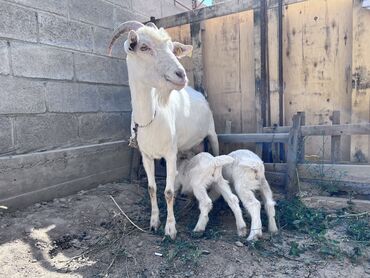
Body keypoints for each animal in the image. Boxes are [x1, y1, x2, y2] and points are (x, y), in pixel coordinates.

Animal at [108, 21, 218, 239]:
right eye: (143, 47)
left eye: (172, 49)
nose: (181, 75)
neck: (150, 118)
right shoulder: (146, 156)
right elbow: (151, 188)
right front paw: (154, 222)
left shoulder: (170, 153)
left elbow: (168, 192)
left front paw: (170, 228)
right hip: (190, 145)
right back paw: (189, 203)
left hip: (212, 133)